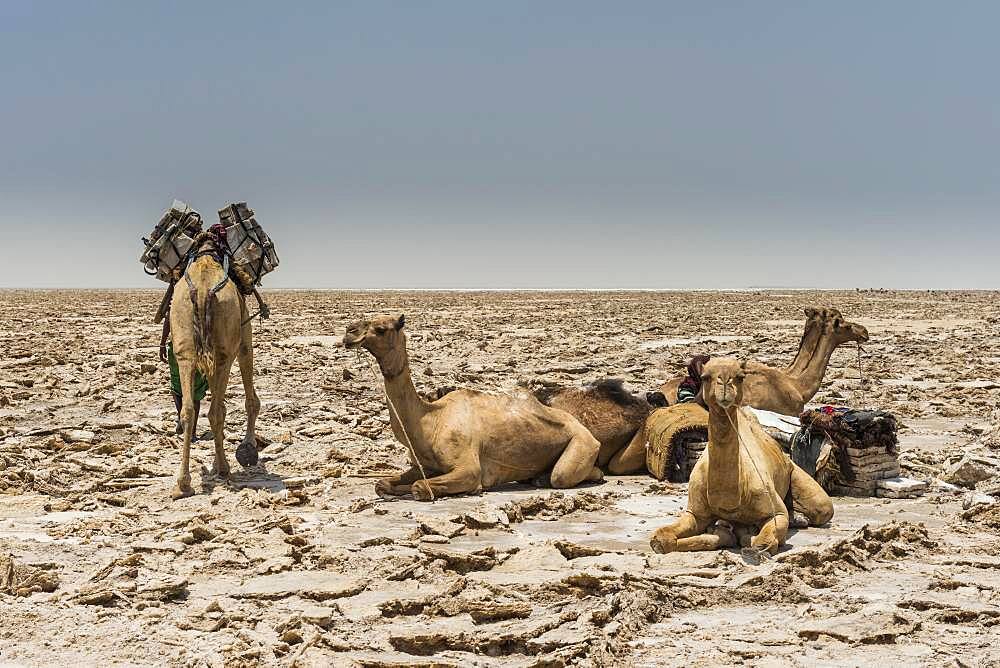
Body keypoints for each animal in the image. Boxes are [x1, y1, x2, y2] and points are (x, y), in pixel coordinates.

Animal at [169, 227, 260, 498]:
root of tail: (201, 291)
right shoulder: (243, 338)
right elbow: (250, 401)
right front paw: (248, 446)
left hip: (185, 350)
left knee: (189, 410)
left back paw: (183, 483)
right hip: (224, 352)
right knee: (216, 411)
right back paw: (223, 468)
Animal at [344, 316, 604, 498]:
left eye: (381, 328)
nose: (349, 332)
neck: (430, 420)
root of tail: (584, 428)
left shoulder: (468, 468)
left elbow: (420, 487)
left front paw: (473, 489)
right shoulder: (426, 465)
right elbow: (382, 483)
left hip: (582, 442)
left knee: (562, 476)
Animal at [644, 358, 832, 556]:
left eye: (741, 377)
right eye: (705, 377)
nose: (725, 383)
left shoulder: (777, 513)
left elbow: (761, 543)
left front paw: (740, 531)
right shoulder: (695, 512)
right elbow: (660, 538)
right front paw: (722, 532)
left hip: (800, 479)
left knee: (823, 508)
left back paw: (799, 518)